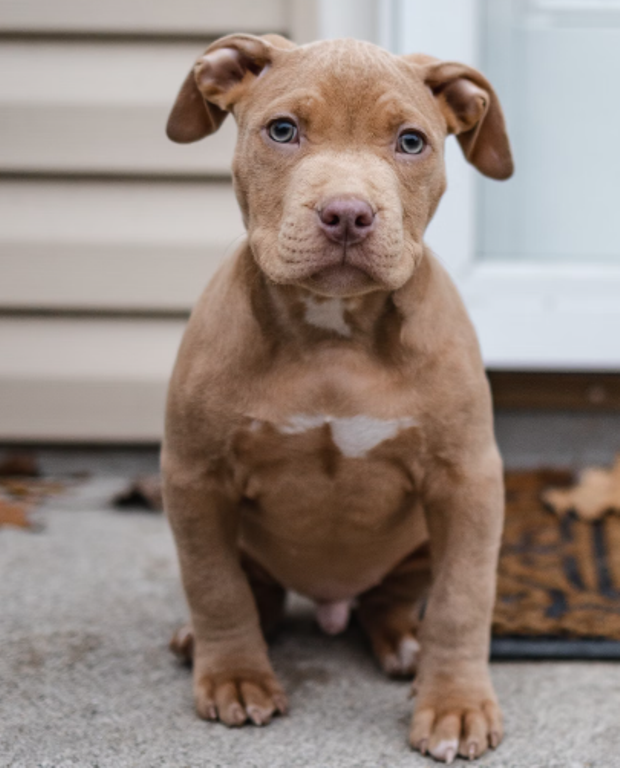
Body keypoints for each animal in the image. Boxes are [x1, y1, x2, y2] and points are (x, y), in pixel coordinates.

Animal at [161, 33, 512, 764]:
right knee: (254, 592)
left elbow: (464, 599)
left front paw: (456, 706)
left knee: (390, 601)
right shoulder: (194, 476)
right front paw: (235, 678)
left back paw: (405, 643)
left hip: (419, 544)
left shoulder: (468, 481)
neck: (333, 335)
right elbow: (214, 586)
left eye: (411, 141)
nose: (347, 213)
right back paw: (204, 644)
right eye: (282, 131)